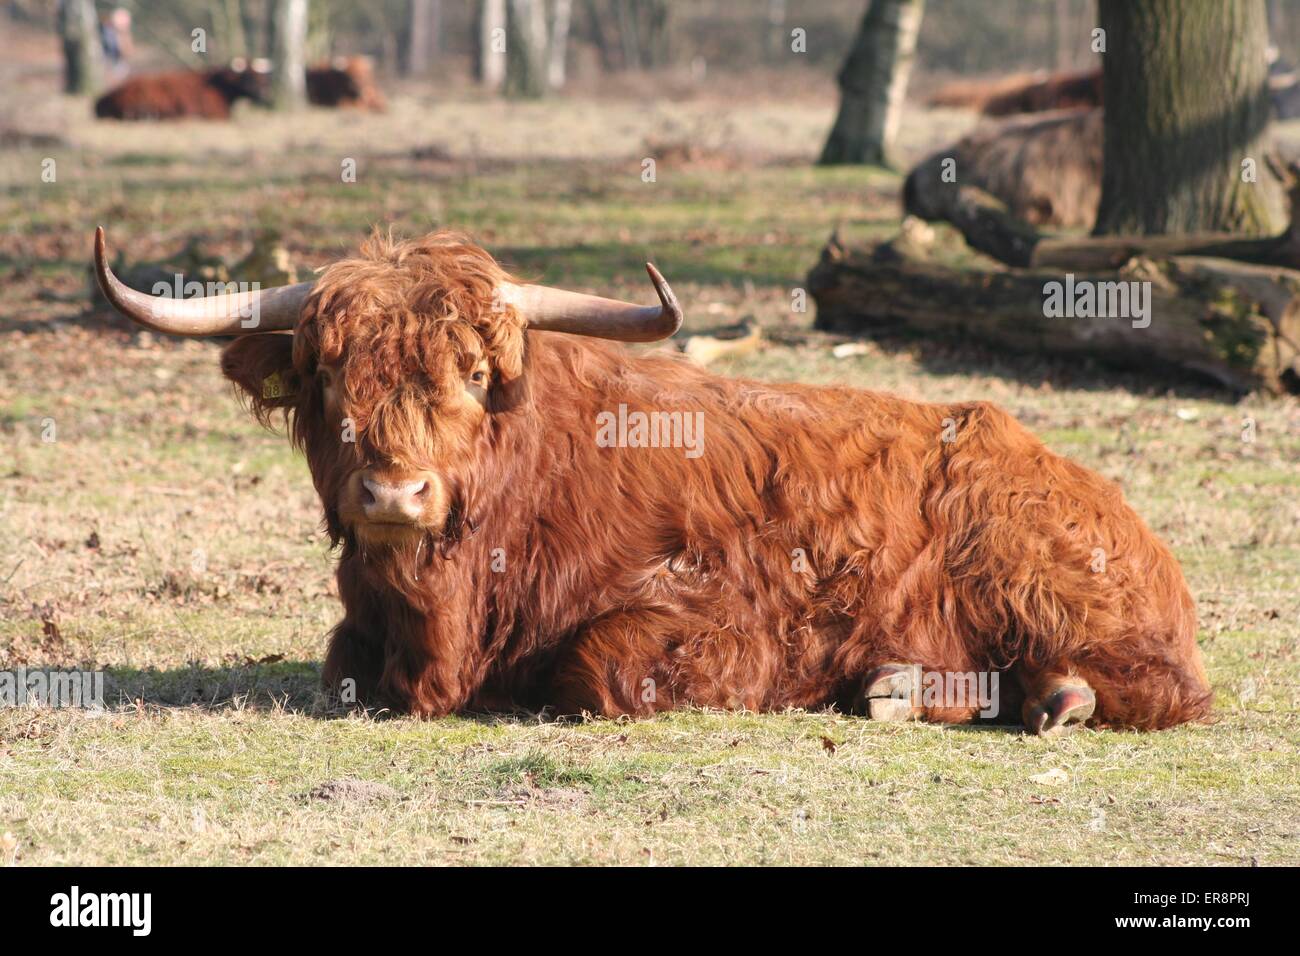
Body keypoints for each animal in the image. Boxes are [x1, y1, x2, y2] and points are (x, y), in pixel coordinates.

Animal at [92, 227, 1213, 734]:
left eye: (474, 372)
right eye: (329, 377)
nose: (395, 496)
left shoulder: (722, 615)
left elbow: (599, 670)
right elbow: (339, 665)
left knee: (1157, 686)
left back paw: (1048, 694)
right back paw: (898, 685)